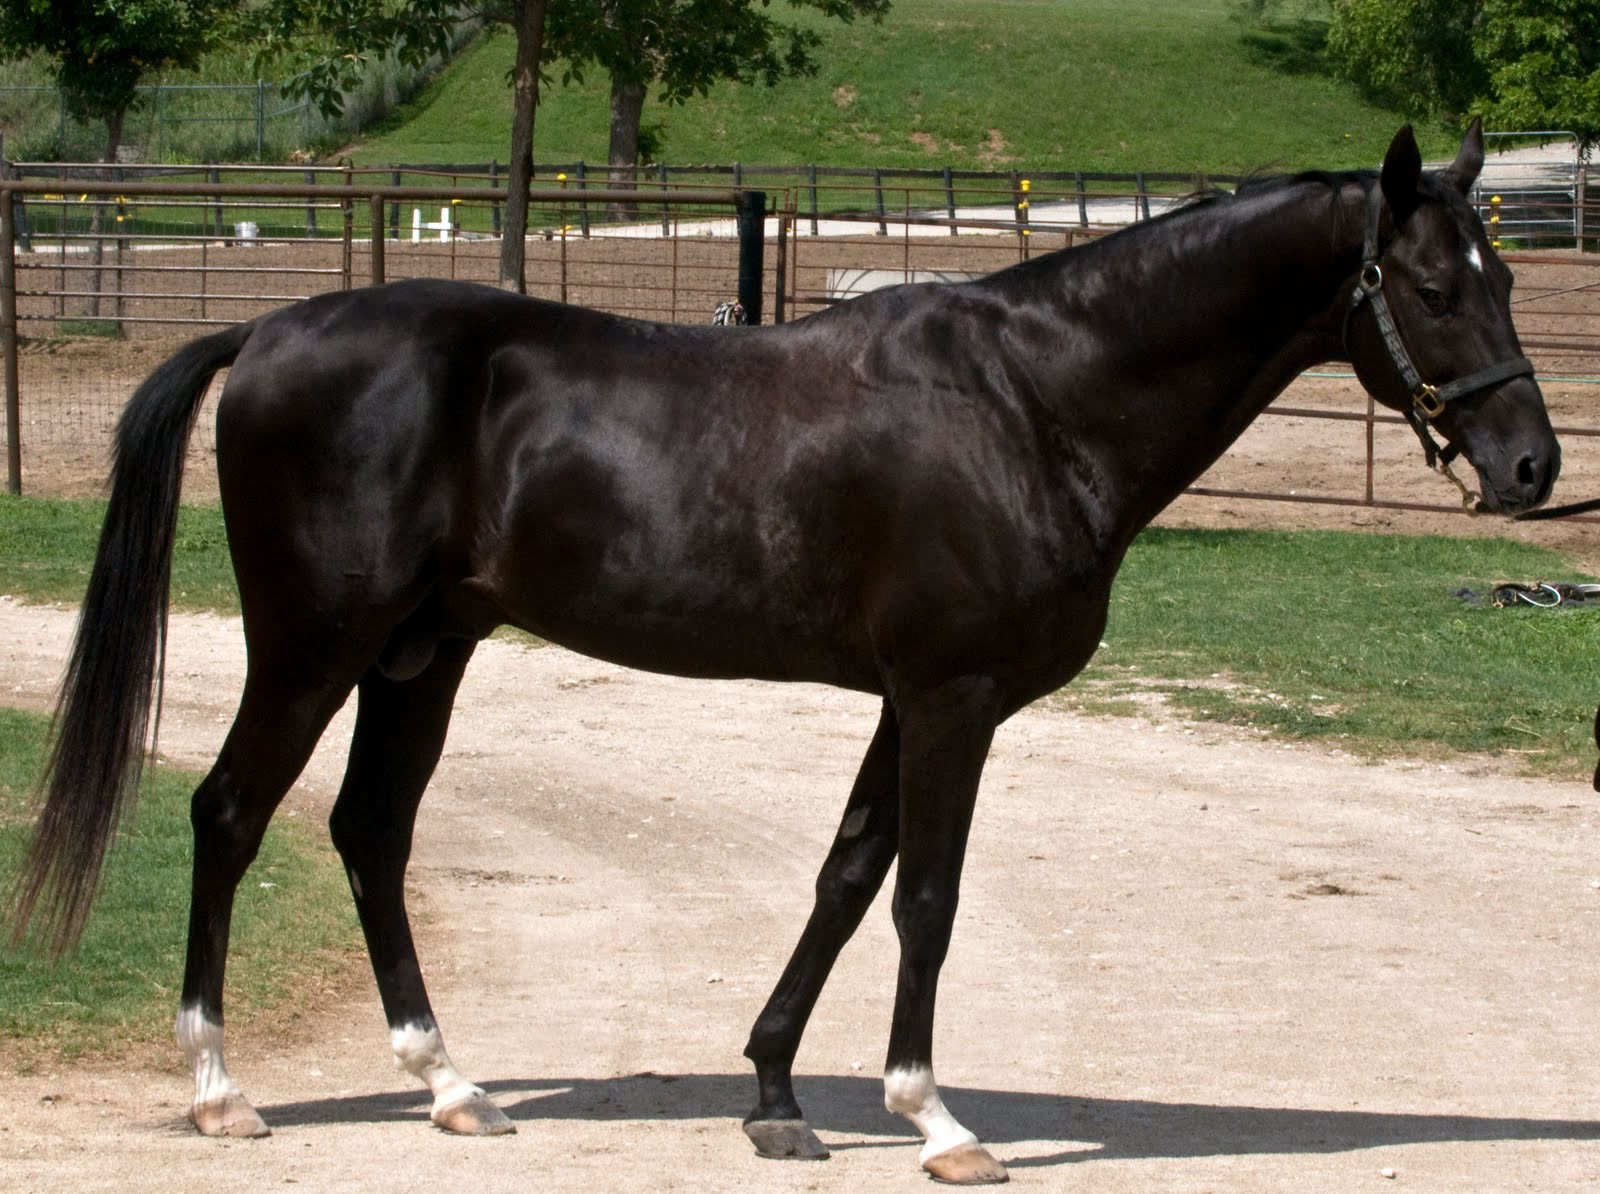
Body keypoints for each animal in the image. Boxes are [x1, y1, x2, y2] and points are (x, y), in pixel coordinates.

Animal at [10, 122, 1557, 1184]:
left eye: (1503, 273)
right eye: (1433, 284)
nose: (1534, 465)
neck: (1028, 399)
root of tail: (269, 325)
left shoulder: (907, 698)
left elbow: (847, 875)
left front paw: (772, 1093)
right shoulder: (952, 699)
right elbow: (926, 895)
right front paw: (935, 1116)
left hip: (419, 657)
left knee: (369, 835)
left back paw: (452, 1085)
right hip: (313, 645)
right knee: (230, 815)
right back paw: (220, 1088)